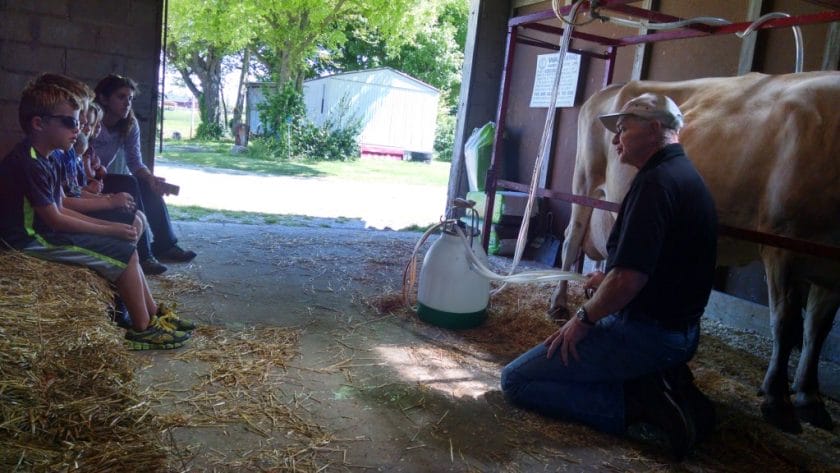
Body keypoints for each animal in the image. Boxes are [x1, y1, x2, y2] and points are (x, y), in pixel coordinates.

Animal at [548, 71, 840, 432]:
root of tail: (613, 87)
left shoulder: (831, 271)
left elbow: (818, 329)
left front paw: (810, 397)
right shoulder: (781, 242)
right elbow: (787, 324)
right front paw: (778, 399)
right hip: (585, 178)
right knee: (572, 237)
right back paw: (559, 304)